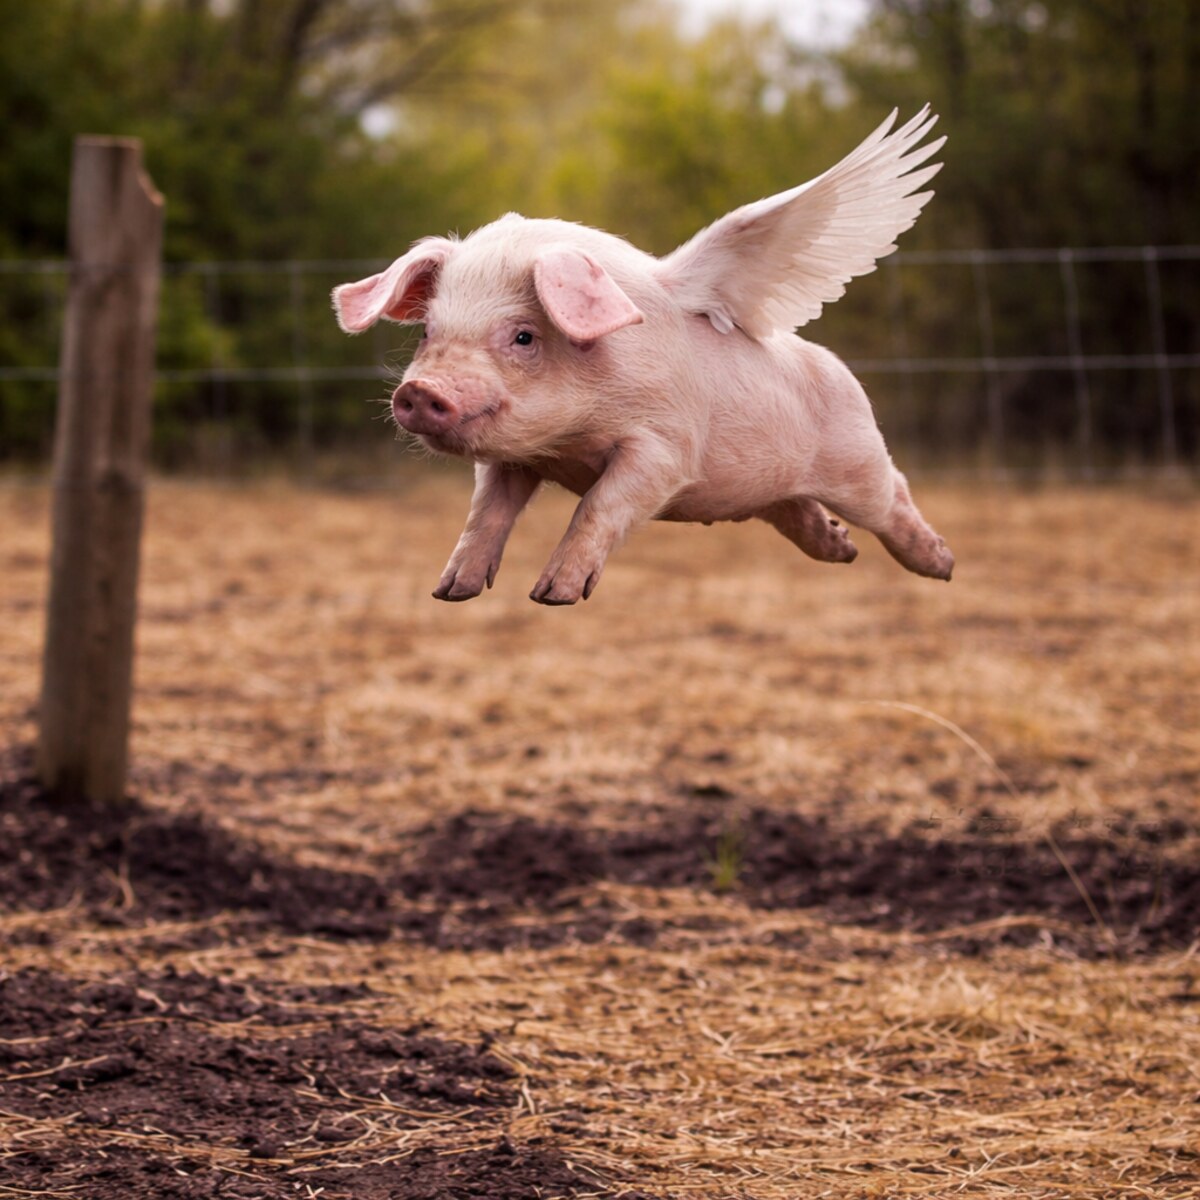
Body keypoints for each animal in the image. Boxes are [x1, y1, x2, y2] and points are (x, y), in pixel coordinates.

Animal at [333, 106, 954, 605]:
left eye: (524, 336)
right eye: (426, 331)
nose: (420, 390)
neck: (571, 440)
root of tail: (844, 373)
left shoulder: (666, 446)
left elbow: (599, 504)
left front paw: (552, 597)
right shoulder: (511, 461)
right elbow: (485, 513)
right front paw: (451, 592)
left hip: (858, 461)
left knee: (894, 492)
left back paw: (942, 565)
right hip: (766, 487)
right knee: (794, 509)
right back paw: (842, 550)